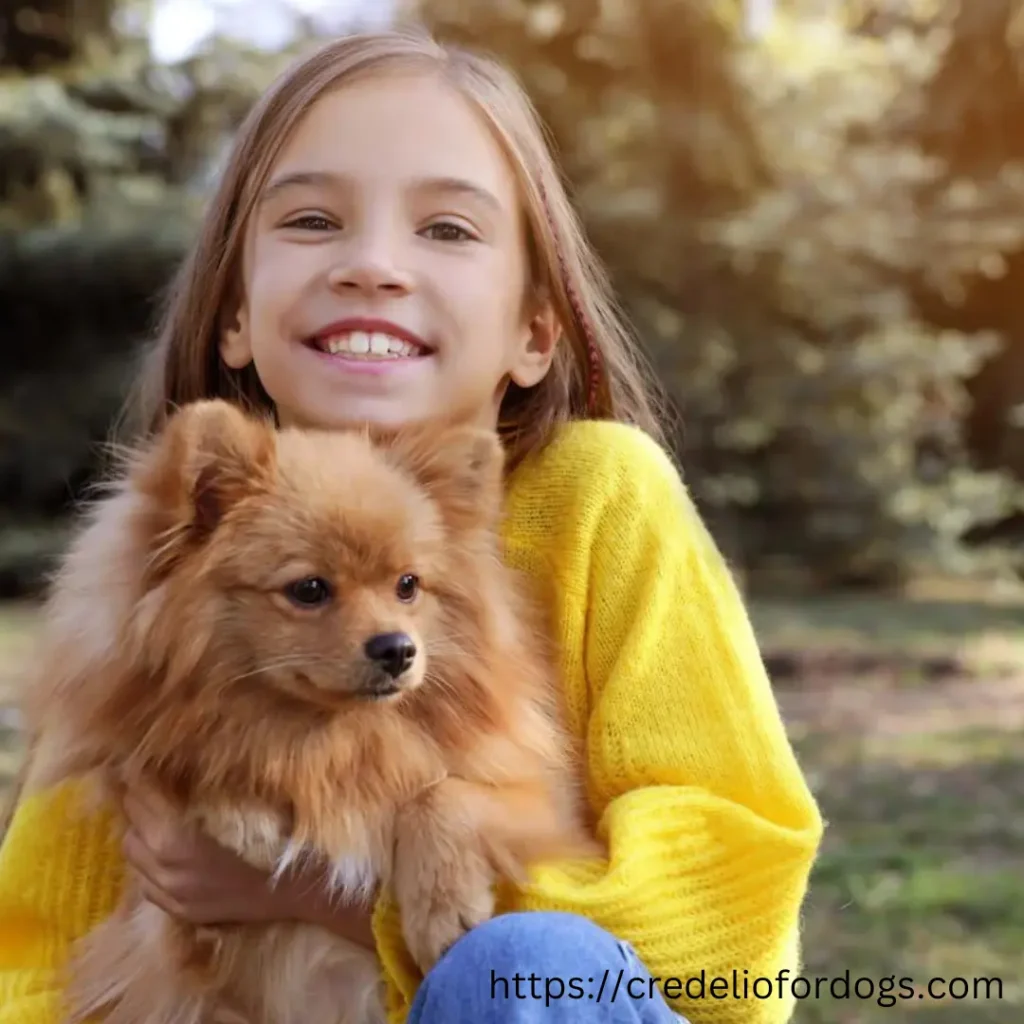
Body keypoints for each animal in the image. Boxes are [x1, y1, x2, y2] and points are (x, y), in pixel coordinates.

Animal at [19, 397, 598, 1024]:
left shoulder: (538, 800)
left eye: (408, 585)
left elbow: (444, 795)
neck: (335, 739)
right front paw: (242, 809)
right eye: (310, 589)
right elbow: (194, 757)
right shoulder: (172, 938)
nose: (398, 649)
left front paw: (444, 907)